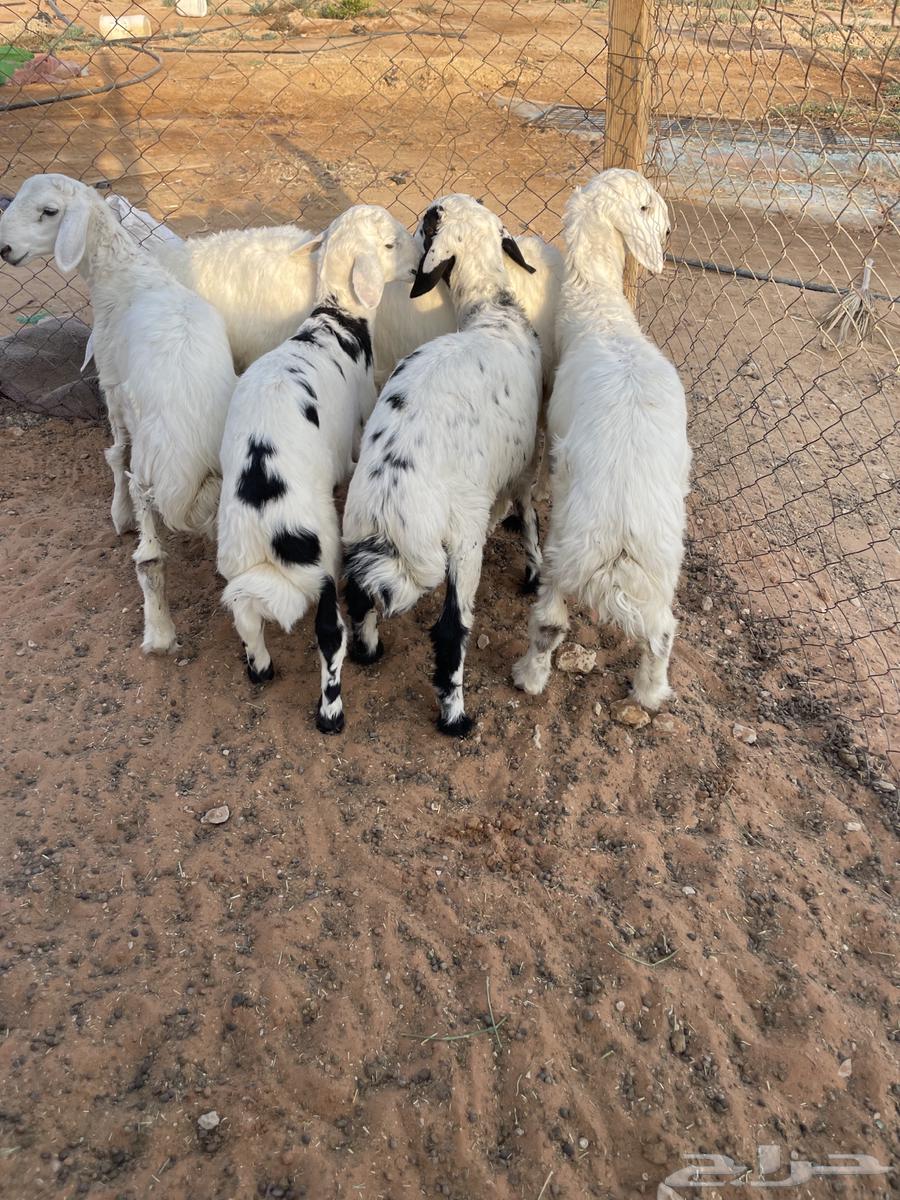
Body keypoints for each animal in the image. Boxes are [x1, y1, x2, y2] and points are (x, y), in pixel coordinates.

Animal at [0, 173, 237, 654]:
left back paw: (159, 631)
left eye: (49, 211)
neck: (125, 275)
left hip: (149, 471)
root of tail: (194, 464)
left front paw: (118, 514)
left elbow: (114, 452)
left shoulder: (110, 381)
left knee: (149, 558)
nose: (5, 250)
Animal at [216, 204, 419, 733]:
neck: (335, 321)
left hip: (238, 562)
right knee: (329, 634)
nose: (419, 261)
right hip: (323, 557)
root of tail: (263, 509)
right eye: (390, 244)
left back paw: (260, 668)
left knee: (244, 615)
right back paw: (331, 711)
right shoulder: (360, 416)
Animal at [342, 194, 544, 737]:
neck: (493, 314)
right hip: (460, 542)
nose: (418, 222)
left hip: (357, 529)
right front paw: (533, 574)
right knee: (452, 630)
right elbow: (528, 516)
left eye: (430, 224)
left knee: (359, 592)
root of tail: (390, 505)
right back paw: (455, 717)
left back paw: (369, 652)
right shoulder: (522, 468)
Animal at [512, 168, 692, 711]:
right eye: (647, 206)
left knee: (550, 623)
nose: (671, 232)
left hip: (568, 553)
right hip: (659, 569)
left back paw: (529, 677)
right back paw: (650, 693)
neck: (602, 316)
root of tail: (623, 533)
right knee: (662, 632)